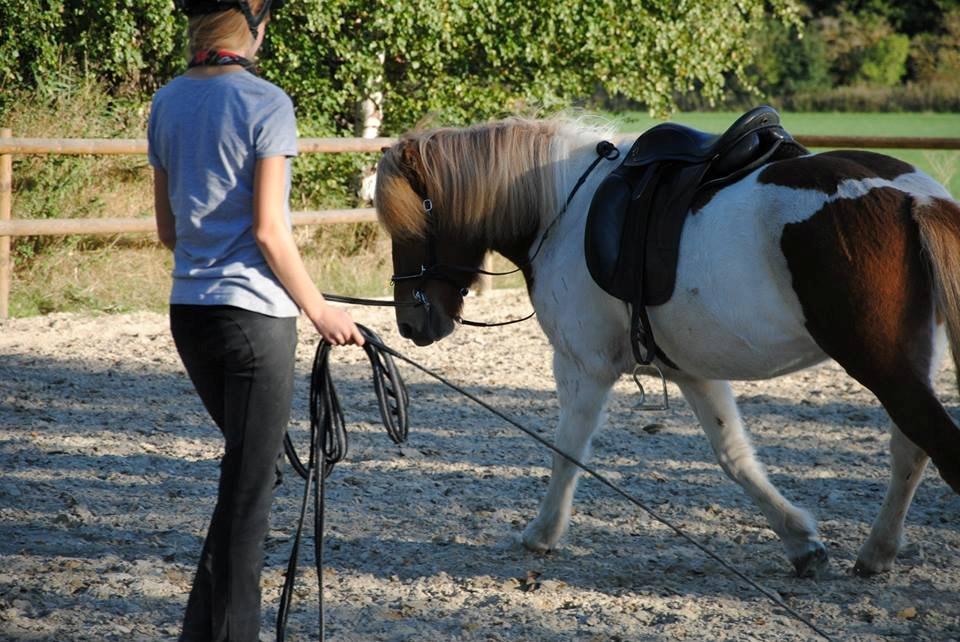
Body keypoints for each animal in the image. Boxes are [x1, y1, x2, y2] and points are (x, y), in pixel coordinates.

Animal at [376, 115, 960, 576]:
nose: (409, 323)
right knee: (911, 449)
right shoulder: (689, 371)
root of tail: (915, 196)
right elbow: (733, 456)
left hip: (880, 363)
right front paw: (800, 541)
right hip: (909, 361)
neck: (561, 209)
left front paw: (542, 533)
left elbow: (568, 451)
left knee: (936, 444)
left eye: (410, 225)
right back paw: (877, 552)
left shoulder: (582, 366)